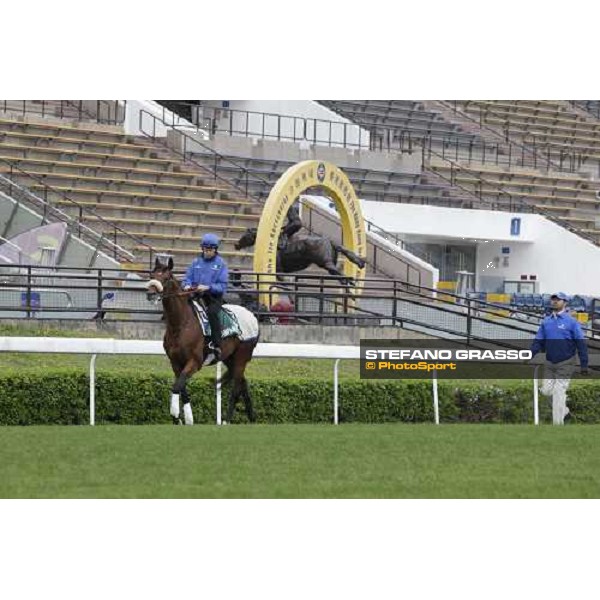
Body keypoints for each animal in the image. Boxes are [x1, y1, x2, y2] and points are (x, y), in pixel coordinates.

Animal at [146, 258, 258, 426]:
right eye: (152, 275)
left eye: (166, 278)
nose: (150, 294)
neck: (181, 325)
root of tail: (252, 317)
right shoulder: (175, 362)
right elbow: (181, 386)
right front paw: (183, 419)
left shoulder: (195, 361)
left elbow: (178, 385)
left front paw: (176, 413)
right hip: (229, 358)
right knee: (243, 384)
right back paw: (252, 418)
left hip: (241, 357)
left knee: (236, 388)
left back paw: (226, 420)